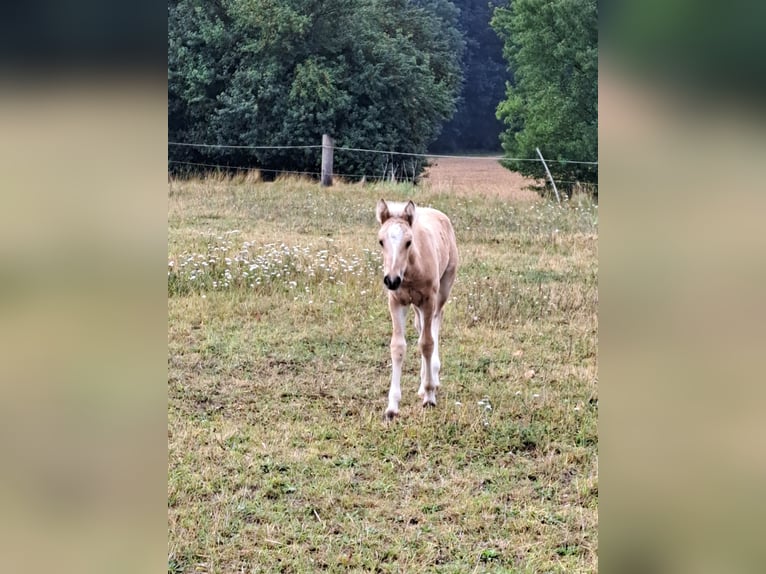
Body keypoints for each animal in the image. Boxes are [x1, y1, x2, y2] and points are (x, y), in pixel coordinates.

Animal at [375, 199, 459, 419]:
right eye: (381, 241)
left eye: (408, 242)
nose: (392, 280)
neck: (409, 271)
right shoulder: (396, 301)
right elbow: (398, 346)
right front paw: (392, 407)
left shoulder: (428, 300)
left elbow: (427, 343)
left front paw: (429, 396)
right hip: (416, 306)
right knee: (421, 327)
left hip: (442, 290)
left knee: (435, 325)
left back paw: (432, 379)